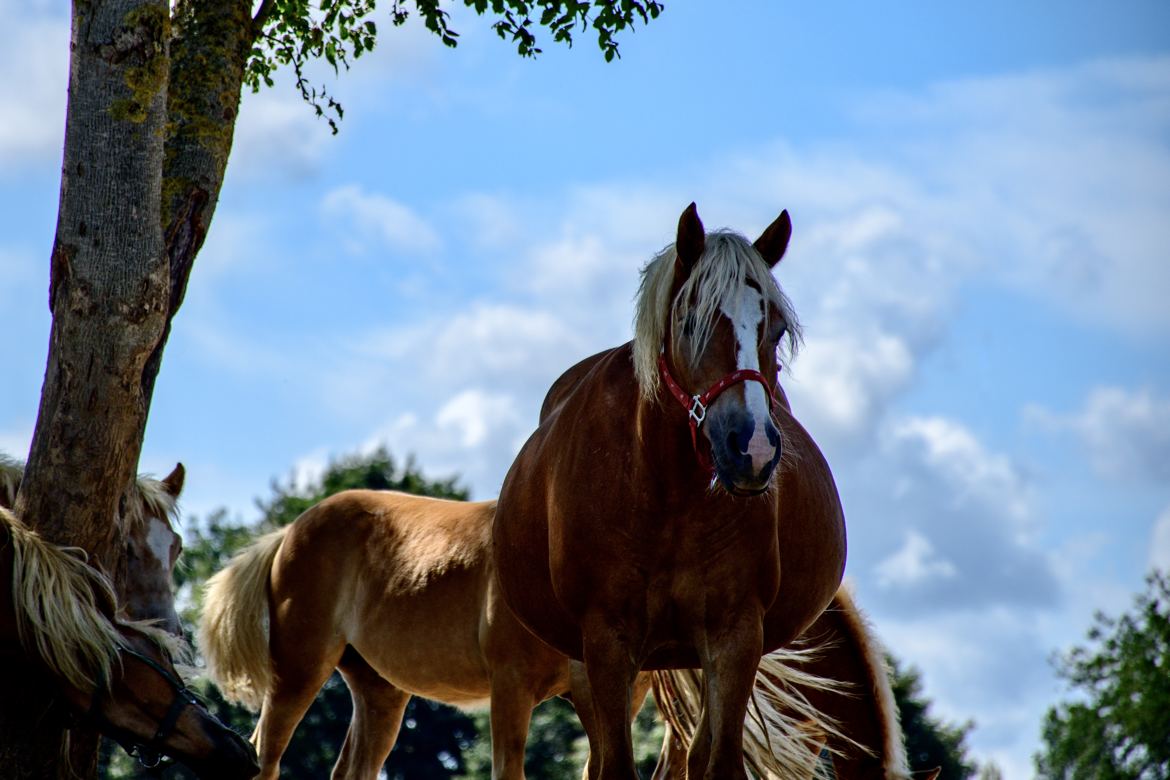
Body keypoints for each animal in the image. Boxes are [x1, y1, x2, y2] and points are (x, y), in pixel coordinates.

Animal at [489, 204, 847, 776]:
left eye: (775, 330)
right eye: (689, 321)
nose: (753, 447)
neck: (664, 499)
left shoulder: (735, 636)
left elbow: (719, 762)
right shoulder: (606, 644)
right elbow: (616, 765)